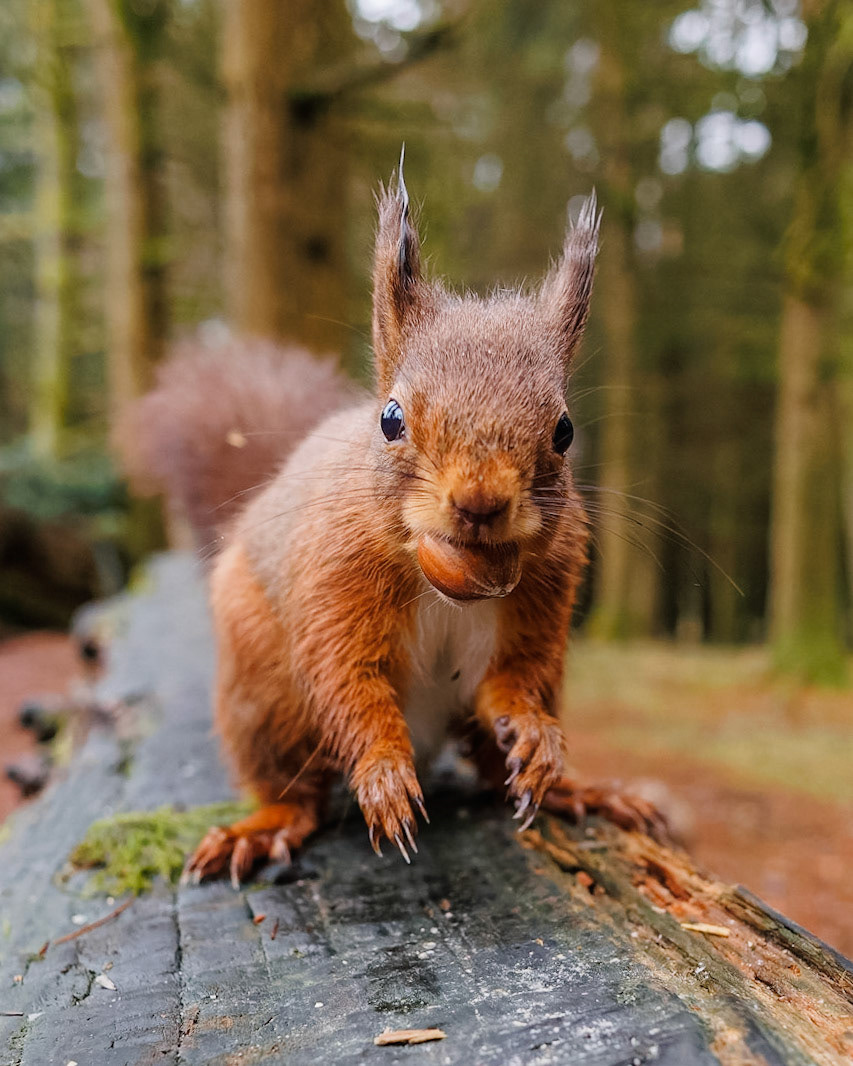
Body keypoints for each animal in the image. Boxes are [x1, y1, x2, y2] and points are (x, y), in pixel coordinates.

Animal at [124, 158, 662, 887]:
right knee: (293, 787)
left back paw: (576, 790)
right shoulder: (333, 583)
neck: (442, 579)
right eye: (390, 418)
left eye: (564, 431)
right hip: (261, 694)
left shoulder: (542, 598)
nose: (479, 503)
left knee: (491, 767)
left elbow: (510, 683)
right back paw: (263, 827)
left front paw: (536, 738)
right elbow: (348, 685)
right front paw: (381, 773)